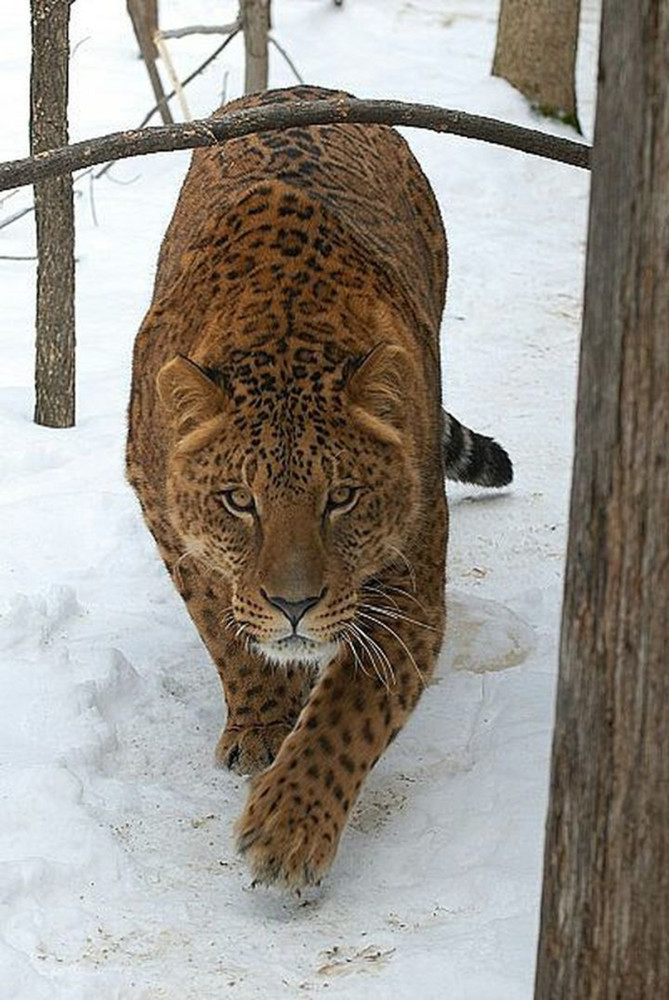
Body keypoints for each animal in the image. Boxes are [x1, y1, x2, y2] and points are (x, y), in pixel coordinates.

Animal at [126, 84, 512, 884]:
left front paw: (289, 827)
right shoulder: (162, 510)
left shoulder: (408, 578)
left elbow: (351, 711)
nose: (295, 605)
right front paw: (264, 721)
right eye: (238, 502)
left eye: (342, 499)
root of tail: (306, 90)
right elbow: (223, 625)